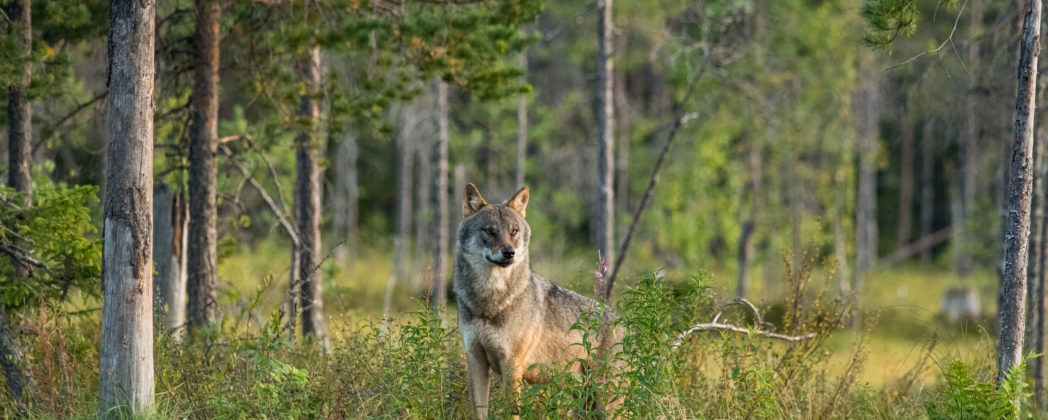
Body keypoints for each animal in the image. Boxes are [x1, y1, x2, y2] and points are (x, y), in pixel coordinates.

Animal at [454, 183, 622, 418]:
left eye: (514, 231)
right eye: (489, 231)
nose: (509, 253)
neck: (490, 302)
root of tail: (623, 320)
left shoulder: (512, 364)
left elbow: (511, 412)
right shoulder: (475, 361)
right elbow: (479, 412)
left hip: (605, 400)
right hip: (583, 400)